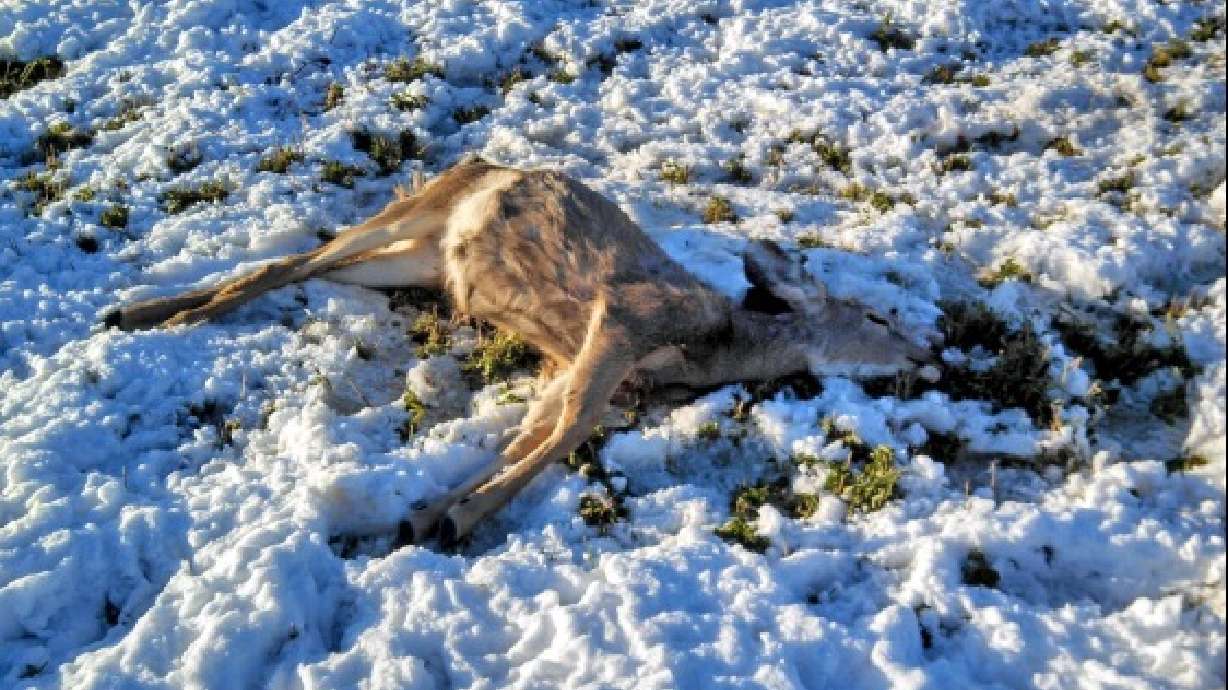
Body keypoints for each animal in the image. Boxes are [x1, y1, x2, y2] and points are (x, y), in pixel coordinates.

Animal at [105, 156, 936, 546]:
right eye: (878, 314)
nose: (928, 353)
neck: (712, 345)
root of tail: (479, 165)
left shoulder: (574, 365)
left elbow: (529, 437)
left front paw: (431, 513)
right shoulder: (620, 323)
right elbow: (566, 435)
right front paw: (460, 518)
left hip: (420, 260)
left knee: (312, 267)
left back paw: (137, 309)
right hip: (418, 209)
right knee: (294, 261)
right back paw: (149, 316)